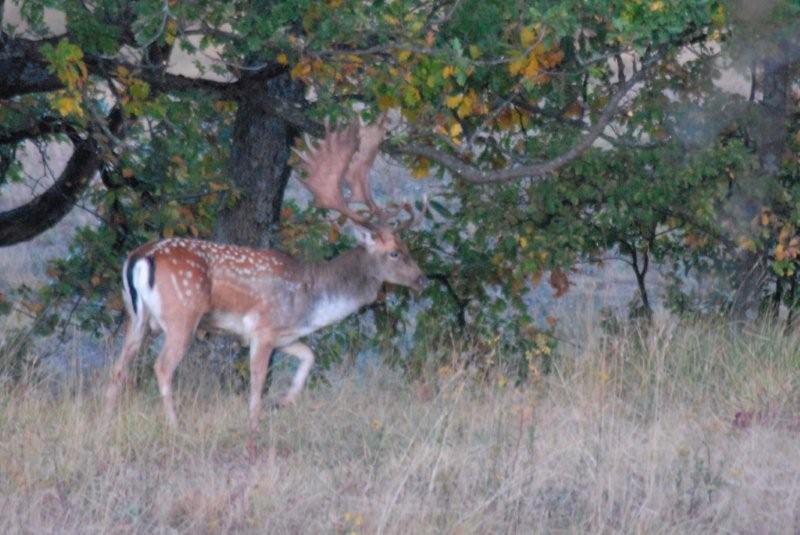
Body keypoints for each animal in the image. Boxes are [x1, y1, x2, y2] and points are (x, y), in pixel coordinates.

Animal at [104, 117, 428, 432]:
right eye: (395, 252)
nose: (421, 279)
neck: (312, 302)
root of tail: (139, 257)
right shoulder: (262, 329)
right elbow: (258, 383)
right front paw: (254, 426)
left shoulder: (285, 335)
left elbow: (309, 356)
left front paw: (283, 401)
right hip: (182, 314)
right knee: (162, 367)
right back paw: (175, 426)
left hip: (137, 318)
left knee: (119, 367)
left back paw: (111, 422)